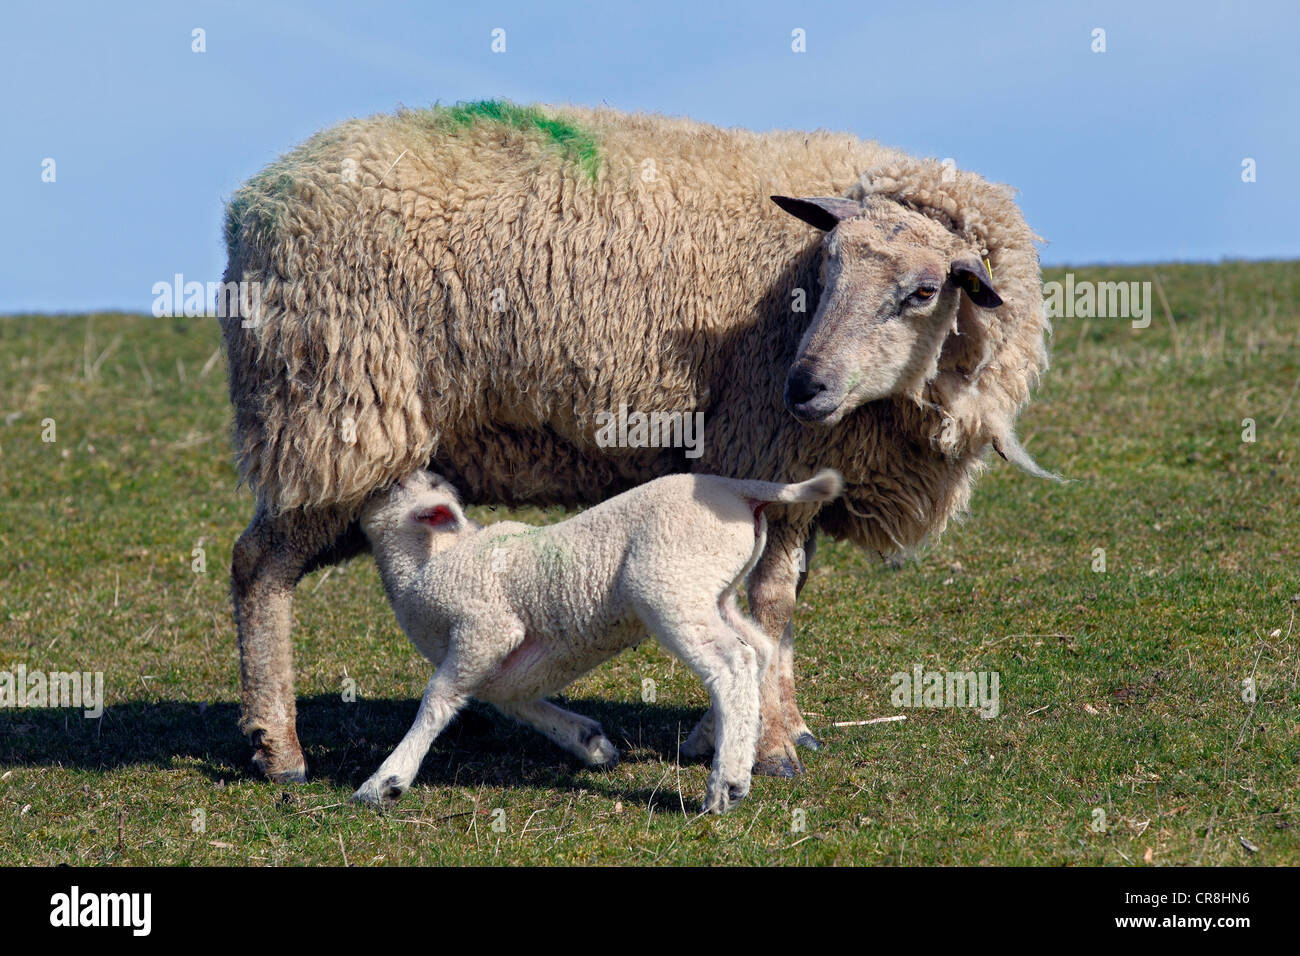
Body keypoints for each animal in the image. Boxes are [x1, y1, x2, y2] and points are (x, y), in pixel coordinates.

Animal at [353, 468, 842, 811]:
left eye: (404, 483)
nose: (383, 476)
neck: (429, 564)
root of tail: (739, 490)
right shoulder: (510, 661)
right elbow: (512, 700)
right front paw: (588, 742)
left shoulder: (486, 627)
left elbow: (438, 697)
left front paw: (386, 781)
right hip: (713, 592)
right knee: (758, 649)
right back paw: (718, 740)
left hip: (668, 584)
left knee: (732, 664)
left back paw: (727, 785)